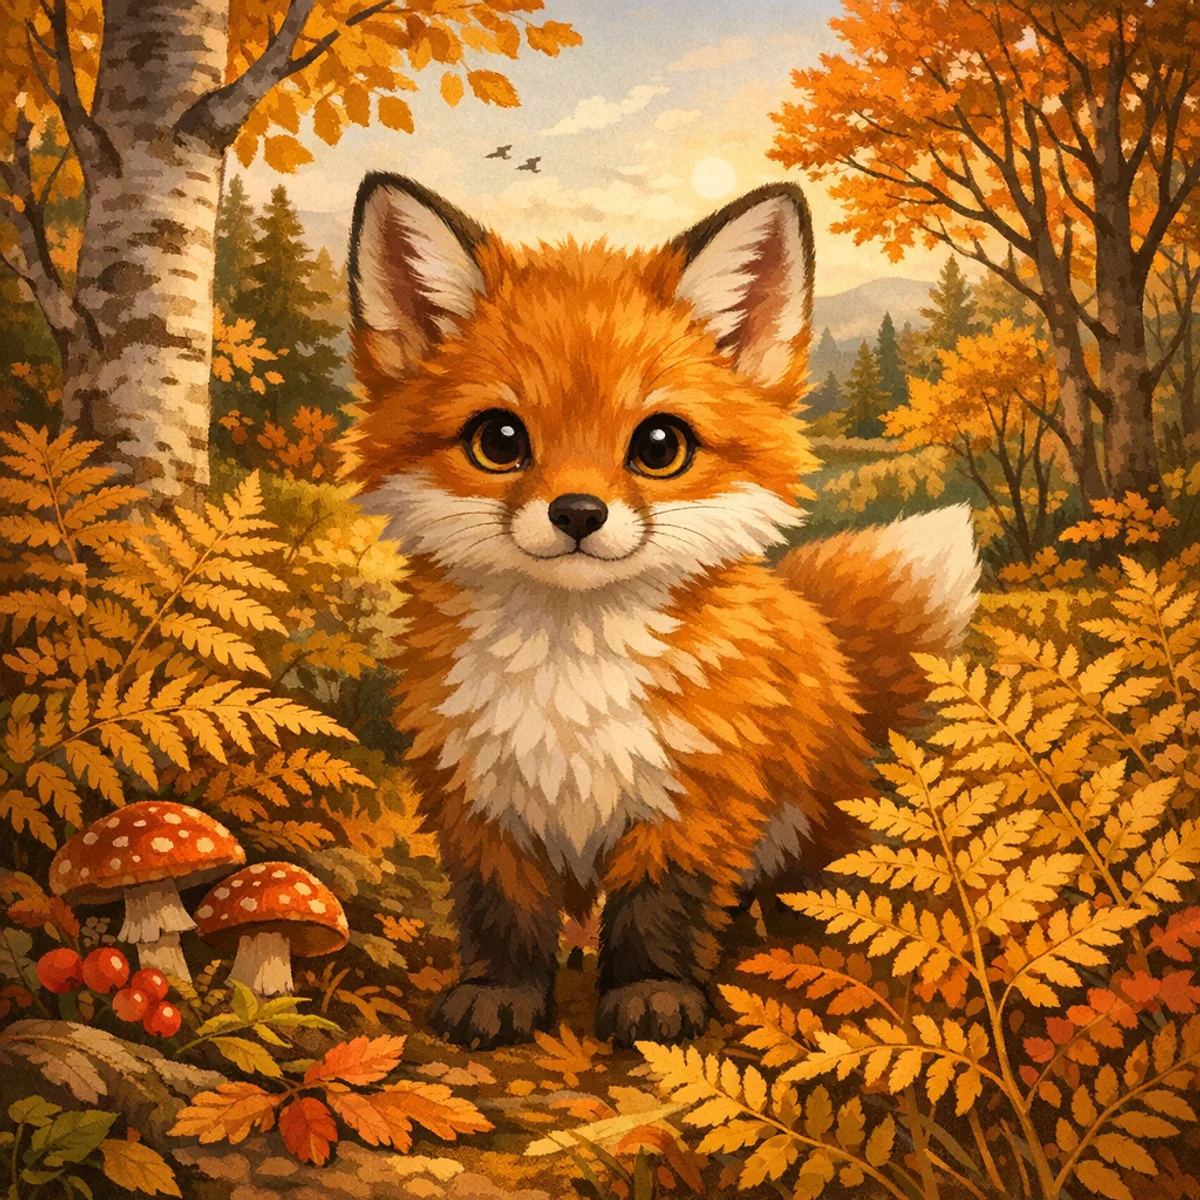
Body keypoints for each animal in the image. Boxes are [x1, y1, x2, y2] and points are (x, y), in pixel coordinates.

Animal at [345, 173, 980, 1050]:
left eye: (658, 446)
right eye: (500, 440)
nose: (578, 513)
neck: (572, 679)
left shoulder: (698, 796)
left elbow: (659, 913)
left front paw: (653, 997)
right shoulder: (479, 795)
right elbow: (503, 913)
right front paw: (498, 995)